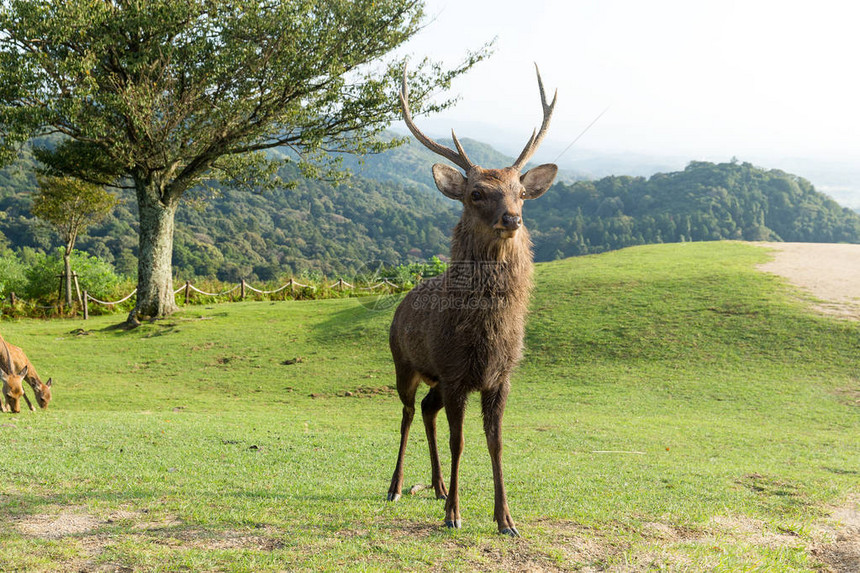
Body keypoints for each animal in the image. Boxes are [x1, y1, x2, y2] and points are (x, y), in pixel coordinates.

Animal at [388, 65, 556, 536]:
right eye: (476, 193)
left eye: (521, 192)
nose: (512, 218)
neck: (483, 337)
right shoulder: (454, 374)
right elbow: (459, 441)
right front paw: (454, 515)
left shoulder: (500, 378)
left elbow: (496, 444)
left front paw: (506, 519)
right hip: (404, 363)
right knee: (407, 414)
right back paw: (396, 487)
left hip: (435, 382)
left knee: (427, 411)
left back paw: (437, 485)